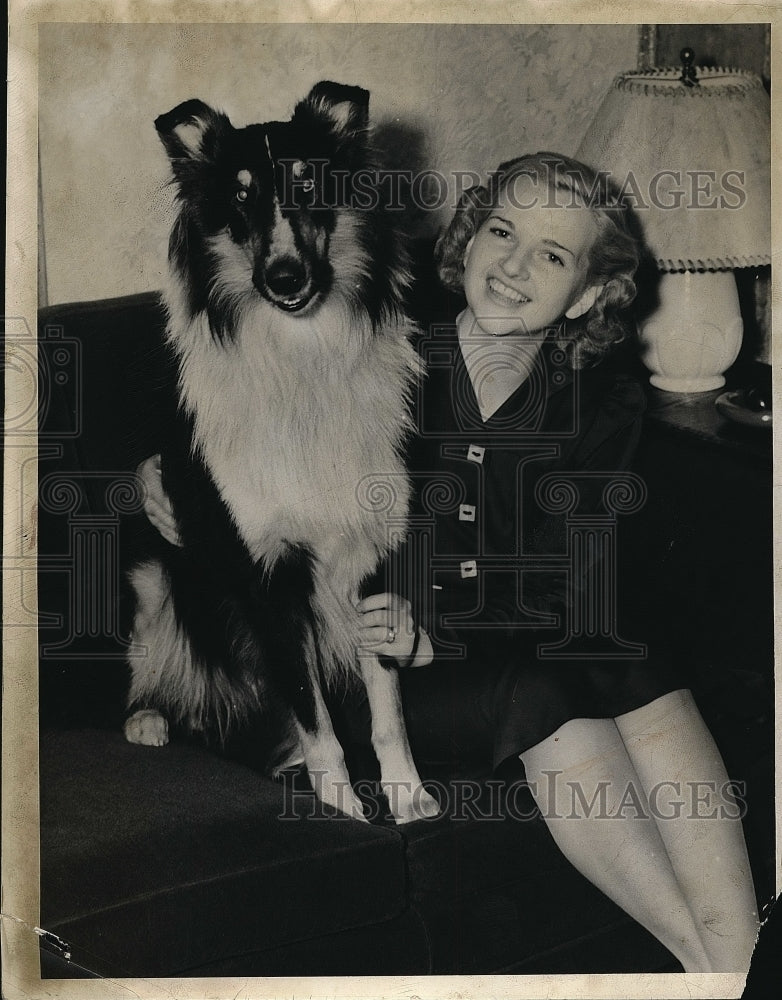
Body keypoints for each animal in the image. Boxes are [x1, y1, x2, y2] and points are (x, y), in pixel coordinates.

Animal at [125, 82, 438, 824]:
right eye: (240, 199)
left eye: (308, 182)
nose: (285, 277)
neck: (303, 364)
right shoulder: (267, 573)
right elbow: (316, 715)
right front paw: (344, 810)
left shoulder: (369, 555)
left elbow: (386, 707)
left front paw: (407, 797)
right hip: (151, 574)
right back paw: (150, 719)